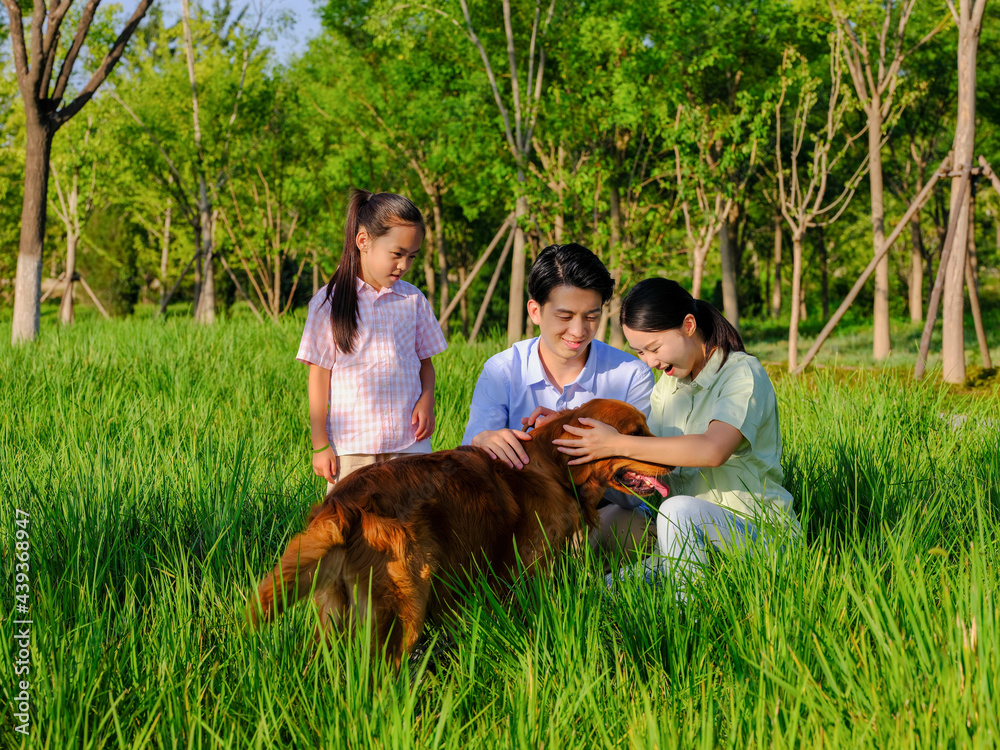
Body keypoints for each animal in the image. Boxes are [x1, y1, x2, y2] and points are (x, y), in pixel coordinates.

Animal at [250, 400, 672, 664]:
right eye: (636, 432)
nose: (672, 459)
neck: (553, 468)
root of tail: (344, 501)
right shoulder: (526, 574)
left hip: (336, 614)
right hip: (405, 606)